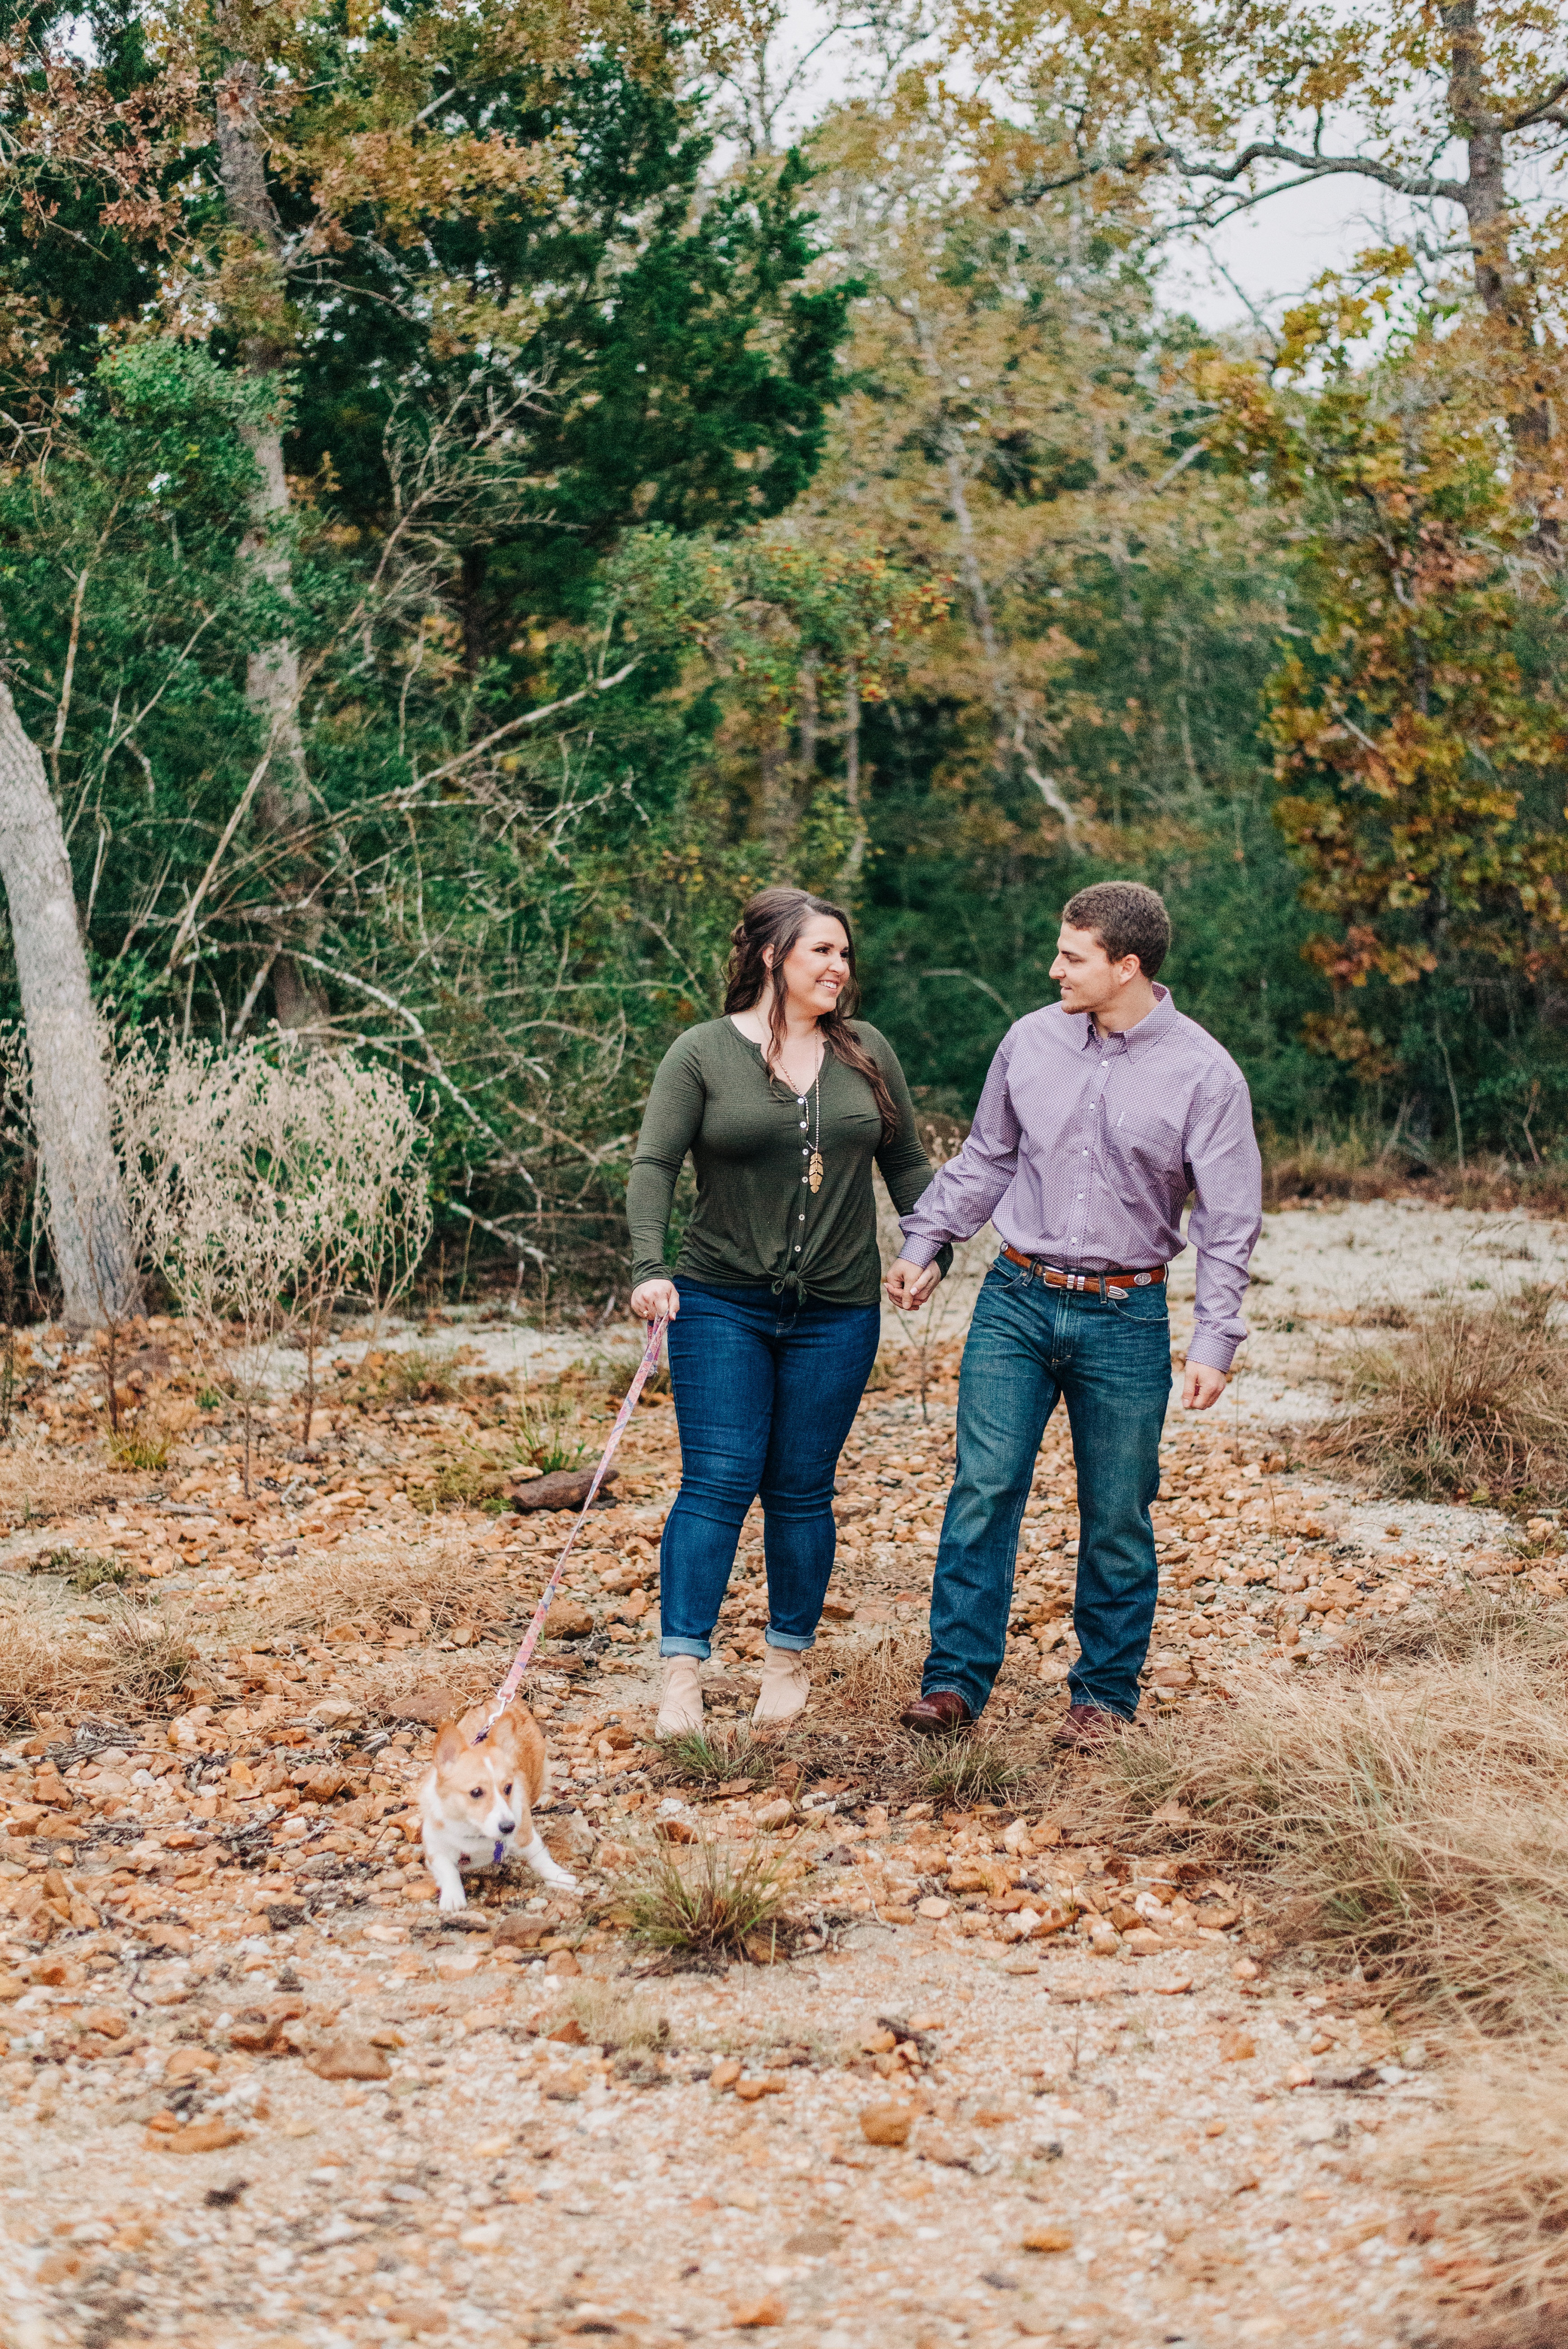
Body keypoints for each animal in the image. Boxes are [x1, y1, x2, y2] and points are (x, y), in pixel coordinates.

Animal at [420, 1700, 580, 1917]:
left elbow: (541, 1858)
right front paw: (453, 1897)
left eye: (508, 1788)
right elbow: (448, 1870)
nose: (508, 1827)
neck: (476, 1832)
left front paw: (560, 1877)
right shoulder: (435, 1850)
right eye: (476, 1792)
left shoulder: (526, 1837)